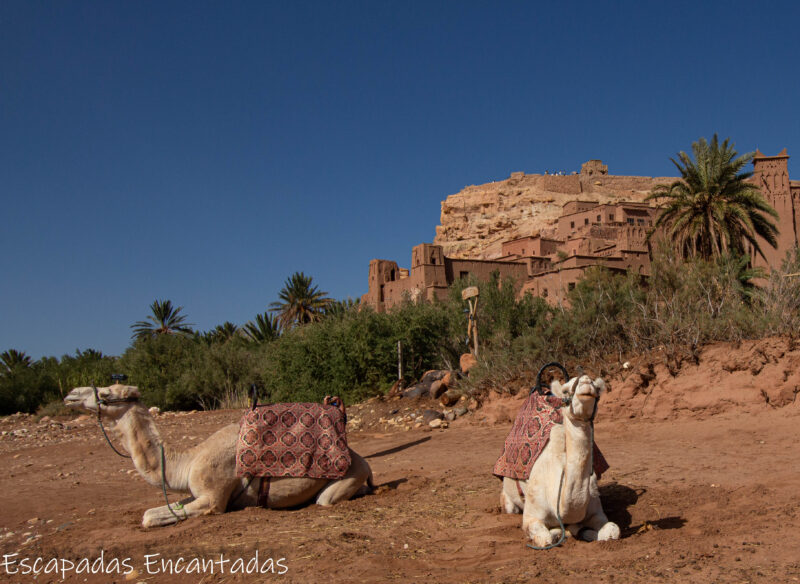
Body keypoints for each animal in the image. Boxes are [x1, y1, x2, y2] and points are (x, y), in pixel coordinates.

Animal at [64, 384, 374, 528]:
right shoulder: (195, 491)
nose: (71, 394)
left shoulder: (213, 499)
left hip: (347, 476)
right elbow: (151, 512)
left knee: (325, 499)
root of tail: (363, 461)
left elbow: (151, 518)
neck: (187, 460)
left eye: (105, 394)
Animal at [500, 374, 620, 548]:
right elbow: (546, 538)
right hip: (508, 500)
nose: (586, 382)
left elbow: (612, 531)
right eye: (565, 390)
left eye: (597, 388)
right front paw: (562, 533)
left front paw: (583, 532)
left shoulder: (596, 511)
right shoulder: (531, 516)